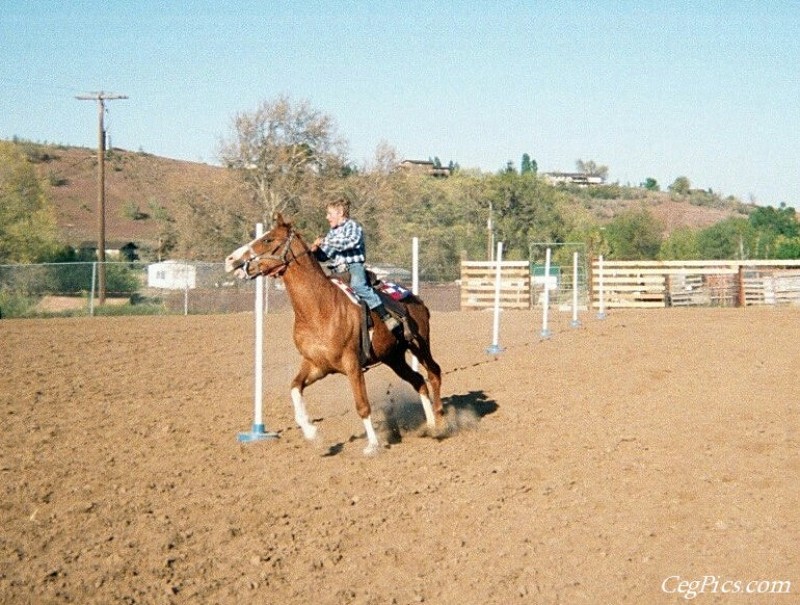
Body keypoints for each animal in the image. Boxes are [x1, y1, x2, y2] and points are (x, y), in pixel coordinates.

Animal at [225, 212, 444, 452]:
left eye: (268, 239)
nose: (230, 260)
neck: (319, 309)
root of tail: (416, 299)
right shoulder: (316, 365)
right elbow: (295, 388)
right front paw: (312, 433)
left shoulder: (352, 364)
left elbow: (362, 405)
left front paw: (373, 445)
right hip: (393, 357)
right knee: (418, 380)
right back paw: (430, 426)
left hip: (419, 344)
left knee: (434, 373)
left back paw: (440, 422)